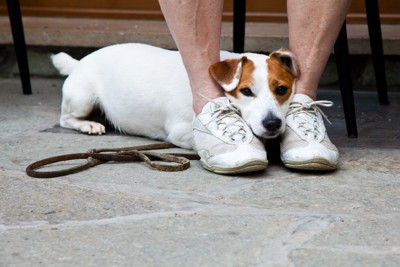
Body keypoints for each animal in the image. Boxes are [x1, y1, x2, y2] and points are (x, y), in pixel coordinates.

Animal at [51, 43, 298, 150]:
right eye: (246, 91)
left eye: (282, 89)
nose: (273, 124)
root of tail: (78, 62)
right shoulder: (180, 132)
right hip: (82, 98)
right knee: (65, 119)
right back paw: (89, 125)